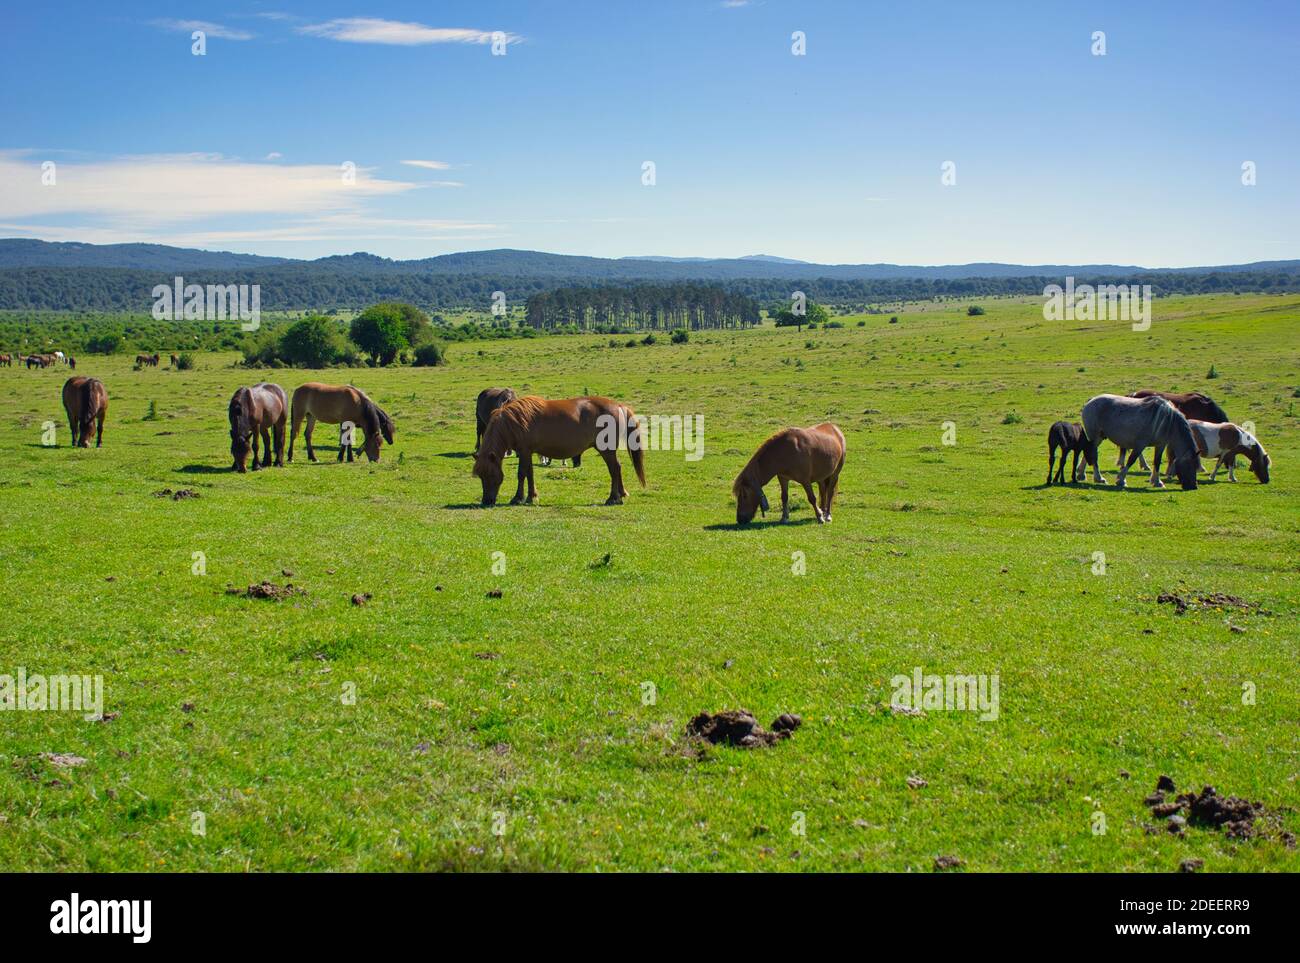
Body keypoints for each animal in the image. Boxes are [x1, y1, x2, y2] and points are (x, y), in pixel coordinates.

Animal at [473, 395, 644, 506]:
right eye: (480, 476)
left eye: (490, 475)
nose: (486, 502)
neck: (513, 421)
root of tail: (620, 406)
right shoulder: (528, 452)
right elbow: (529, 474)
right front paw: (531, 496)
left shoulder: (524, 451)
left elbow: (521, 474)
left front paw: (518, 498)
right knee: (618, 467)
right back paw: (622, 493)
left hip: (606, 449)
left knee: (614, 469)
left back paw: (613, 498)